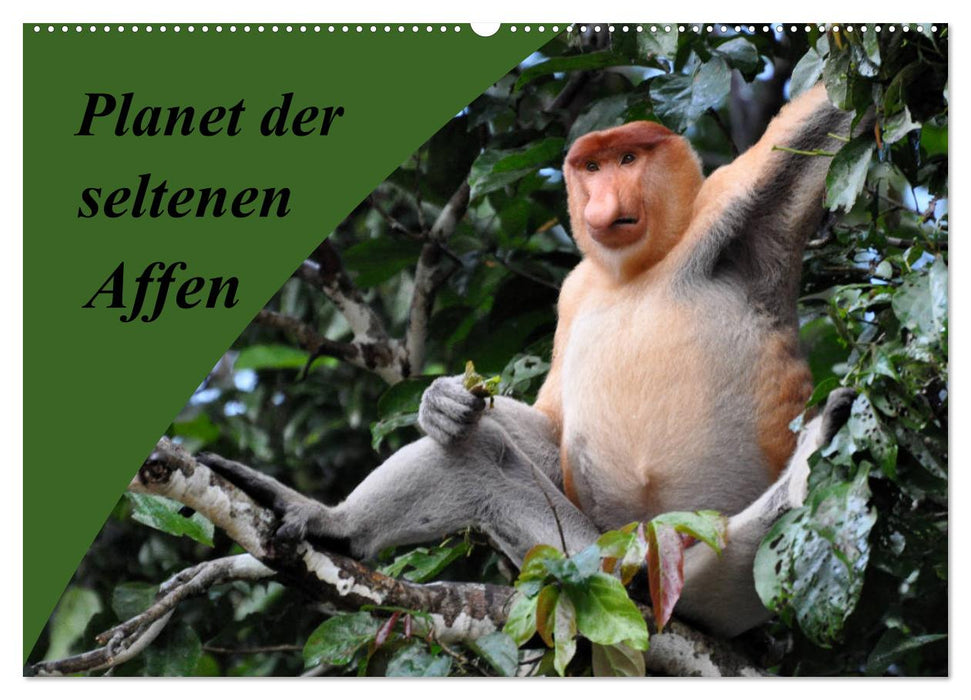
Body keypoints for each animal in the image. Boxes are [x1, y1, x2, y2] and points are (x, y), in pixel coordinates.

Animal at [202, 83, 859, 638]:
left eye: (628, 160)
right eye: (591, 168)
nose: (602, 201)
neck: (640, 270)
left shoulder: (730, 211)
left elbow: (818, 121)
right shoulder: (573, 291)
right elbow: (550, 426)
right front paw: (441, 402)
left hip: (705, 571)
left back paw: (810, 455)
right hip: (590, 557)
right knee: (470, 462)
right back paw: (331, 523)